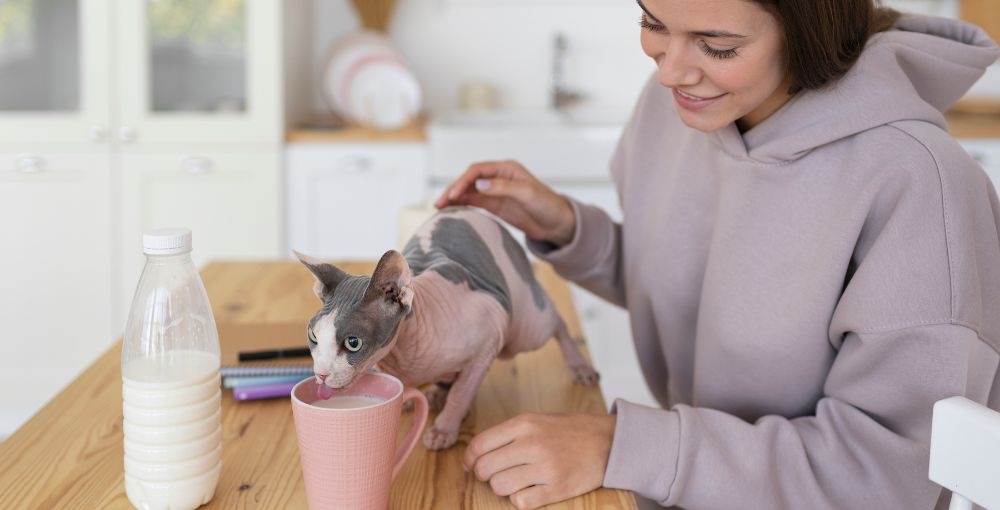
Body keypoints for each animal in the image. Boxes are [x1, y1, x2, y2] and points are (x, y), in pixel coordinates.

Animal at [292, 205, 596, 448]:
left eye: (353, 342)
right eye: (313, 335)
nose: (319, 375)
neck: (404, 354)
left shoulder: (489, 337)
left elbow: (462, 394)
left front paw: (444, 429)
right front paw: (411, 398)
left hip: (526, 327)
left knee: (557, 321)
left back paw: (581, 366)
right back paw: (437, 391)